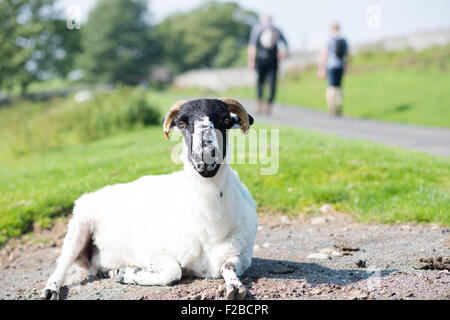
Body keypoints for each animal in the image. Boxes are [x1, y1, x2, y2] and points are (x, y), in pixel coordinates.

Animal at [41, 97, 260, 300]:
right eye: (181, 123)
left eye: (225, 119)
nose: (205, 155)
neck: (209, 226)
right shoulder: (150, 253)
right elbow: (173, 272)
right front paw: (128, 273)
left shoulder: (242, 256)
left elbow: (228, 266)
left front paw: (235, 287)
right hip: (78, 229)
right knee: (61, 266)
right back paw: (51, 290)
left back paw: (110, 270)